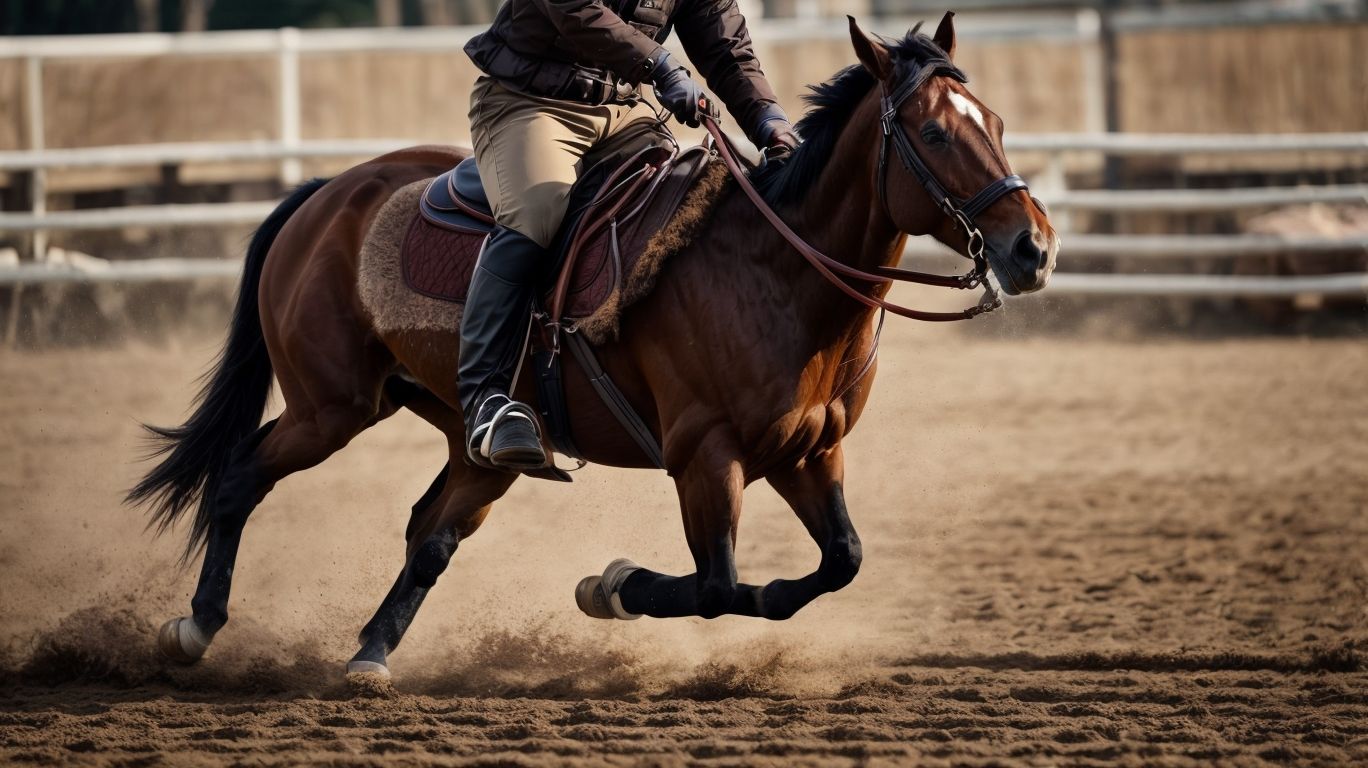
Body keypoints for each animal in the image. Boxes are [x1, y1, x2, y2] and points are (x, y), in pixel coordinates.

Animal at [128, 13, 1058, 680]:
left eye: (996, 122)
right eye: (934, 135)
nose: (1033, 249)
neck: (774, 269)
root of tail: (325, 193)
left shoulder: (810, 451)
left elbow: (837, 565)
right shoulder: (704, 455)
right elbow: (720, 584)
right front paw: (608, 588)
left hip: (475, 444)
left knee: (429, 535)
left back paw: (370, 654)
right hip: (330, 407)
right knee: (241, 476)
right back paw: (196, 627)